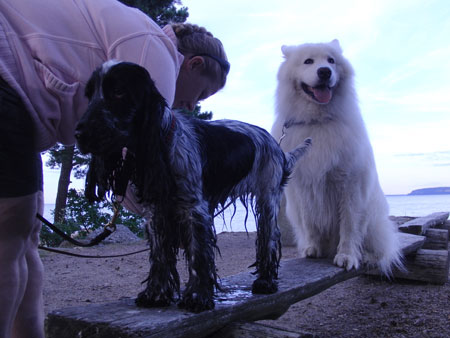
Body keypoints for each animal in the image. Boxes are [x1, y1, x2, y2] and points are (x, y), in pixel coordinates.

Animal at [74, 60, 312, 312]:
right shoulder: (156, 214)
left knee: (268, 239)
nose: (79, 134)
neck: (164, 143)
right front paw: (155, 294)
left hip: (267, 199)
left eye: (119, 91)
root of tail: (278, 148)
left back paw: (265, 282)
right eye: (89, 95)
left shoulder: (194, 210)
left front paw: (197, 297)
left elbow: (198, 255)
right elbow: (159, 256)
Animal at [270, 39, 404, 274]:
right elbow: (310, 221)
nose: (324, 71)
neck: (318, 122)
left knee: (381, 249)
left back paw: (367, 256)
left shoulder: (349, 183)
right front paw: (313, 248)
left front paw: (347, 257)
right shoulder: (304, 185)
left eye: (331, 60)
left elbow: (349, 226)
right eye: (308, 61)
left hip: (374, 219)